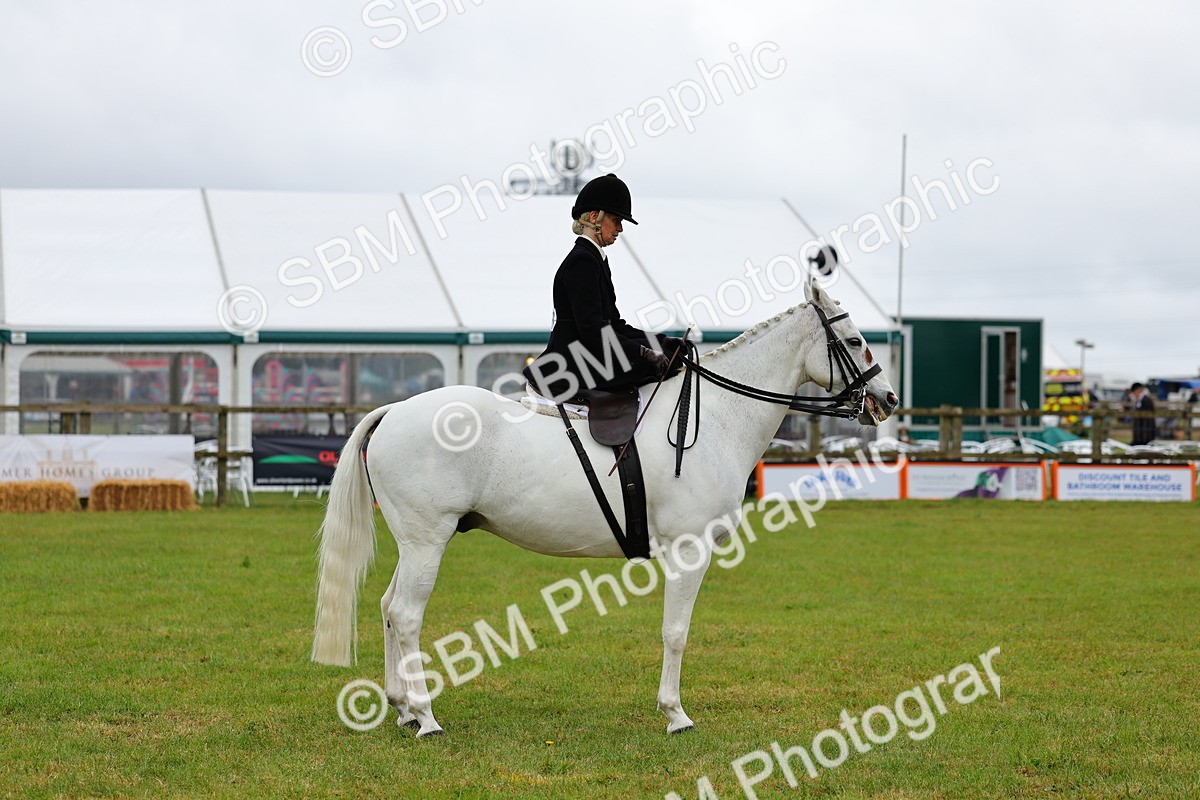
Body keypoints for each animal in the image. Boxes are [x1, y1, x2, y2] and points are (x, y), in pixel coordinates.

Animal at [311, 277, 898, 736]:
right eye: (854, 339)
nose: (888, 400)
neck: (715, 417)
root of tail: (394, 410)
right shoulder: (689, 551)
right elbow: (676, 632)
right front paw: (675, 714)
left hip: (415, 543)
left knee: (389, 608)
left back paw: (402, 708)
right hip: (427, 541)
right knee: (408, 616)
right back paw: (427, 717)